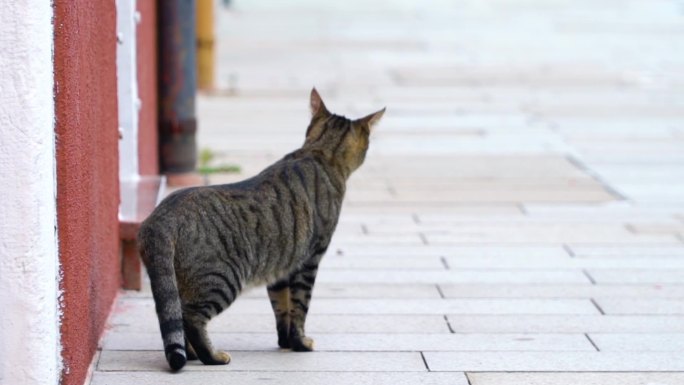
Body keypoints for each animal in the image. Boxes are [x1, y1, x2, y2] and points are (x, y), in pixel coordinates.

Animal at [138, 88, 384, 370]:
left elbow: (282, 307)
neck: (318, 152)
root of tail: (161, 217)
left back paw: (191, 354)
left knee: (177, 316)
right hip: (222, 278)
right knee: (191, 318)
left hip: (183, 280)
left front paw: (286, 342)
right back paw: (211, 356)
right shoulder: (309, 260)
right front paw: (301, 343)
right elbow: (300, 306)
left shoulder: (281, 268)